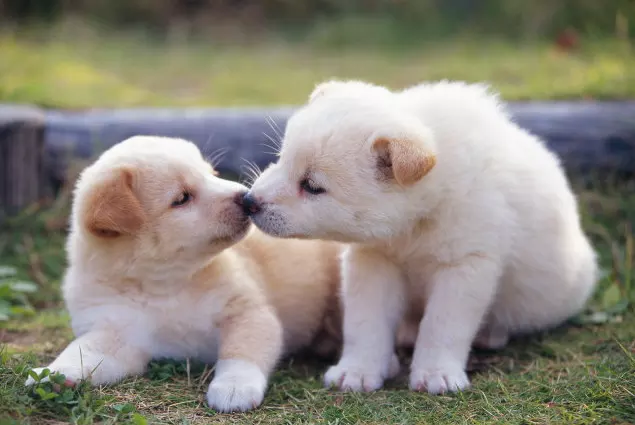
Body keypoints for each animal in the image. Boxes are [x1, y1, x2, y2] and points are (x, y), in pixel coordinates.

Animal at [24, 135, 342, 410]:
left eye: (212, 173)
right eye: (182, 198)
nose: (246, 197)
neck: (164, 286)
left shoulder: (246, 312)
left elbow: (241, 353)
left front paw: (234, 387)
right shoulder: (116, 334)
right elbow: (81, 352)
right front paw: (54, 374)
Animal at [242, 80, 596, 394]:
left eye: (313, 186)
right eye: (281, 159)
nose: (248, 202)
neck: (415, 223)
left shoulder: (464, 266)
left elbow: (442, 326)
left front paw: (437, 374)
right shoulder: (373, 261)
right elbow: (364, 323)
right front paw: (357, 371)